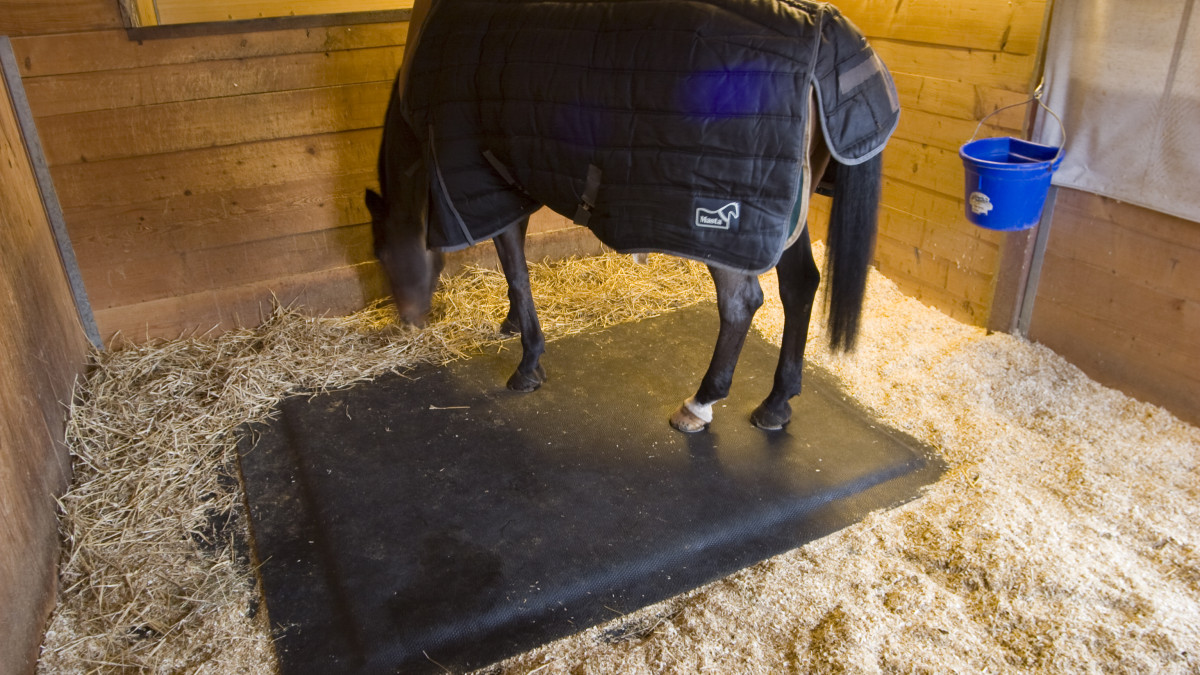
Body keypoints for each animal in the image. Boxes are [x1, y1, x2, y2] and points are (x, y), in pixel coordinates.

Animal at [369, 0, 897, 429]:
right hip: (779, 220)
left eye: (385, 255)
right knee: (801, 284)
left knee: (741, 304)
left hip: (723, 225)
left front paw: (527, 363)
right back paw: (776, 403)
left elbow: (515, 271)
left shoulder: (487, 185)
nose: (408, 322)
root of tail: (825, 32)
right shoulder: (513, 180)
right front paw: (512, 324)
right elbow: (514, 272)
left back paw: (700, 404)